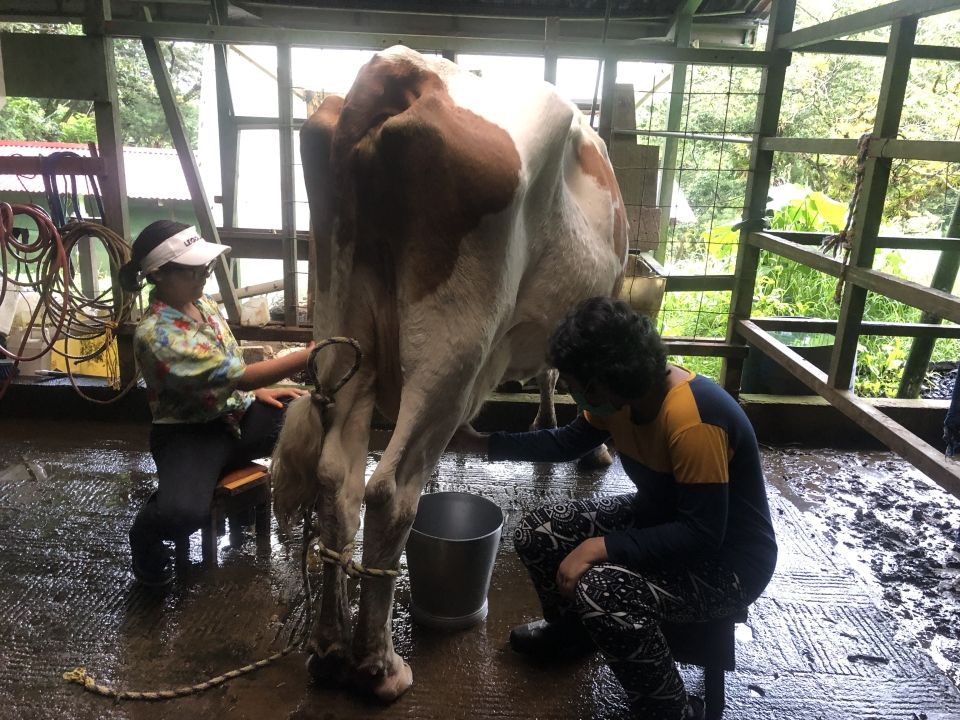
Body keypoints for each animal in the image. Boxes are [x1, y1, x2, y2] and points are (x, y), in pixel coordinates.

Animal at [270, 46, 632, 704]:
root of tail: (401, 69)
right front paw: (591, 449)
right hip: (454, 346)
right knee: (389, 490)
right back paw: (379, 666)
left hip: (344, 327)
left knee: (338, 480)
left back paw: (329, 650)